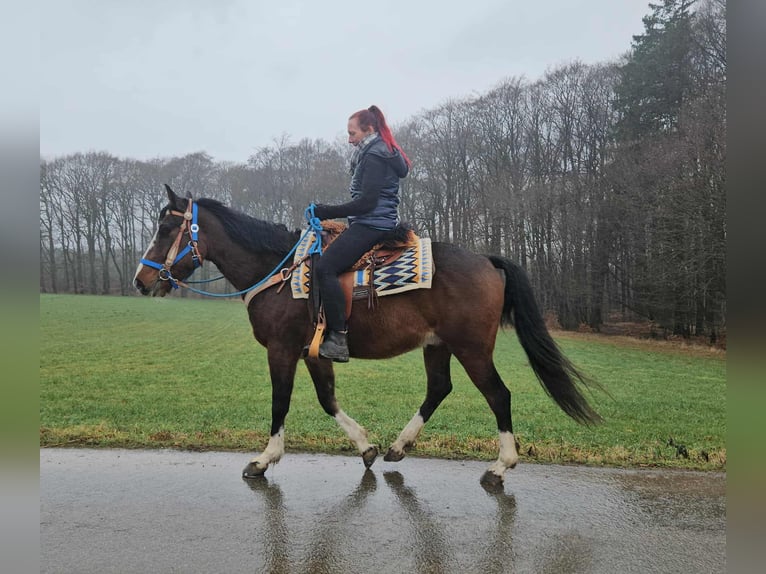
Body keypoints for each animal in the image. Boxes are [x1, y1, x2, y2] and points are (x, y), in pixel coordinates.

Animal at [133, 185, 601, 488]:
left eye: (165, 230)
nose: (140, 281)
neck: (277, 271)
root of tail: (486, 259)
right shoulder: (313, 352)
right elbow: (328, 400)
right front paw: (366, 447)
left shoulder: (282, 351)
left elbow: (280, 402)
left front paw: (265, 460)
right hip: (438, 346)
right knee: (438, 389)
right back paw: (398, 446)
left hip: (472, 349)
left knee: (498, 395)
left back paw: (500, 467)